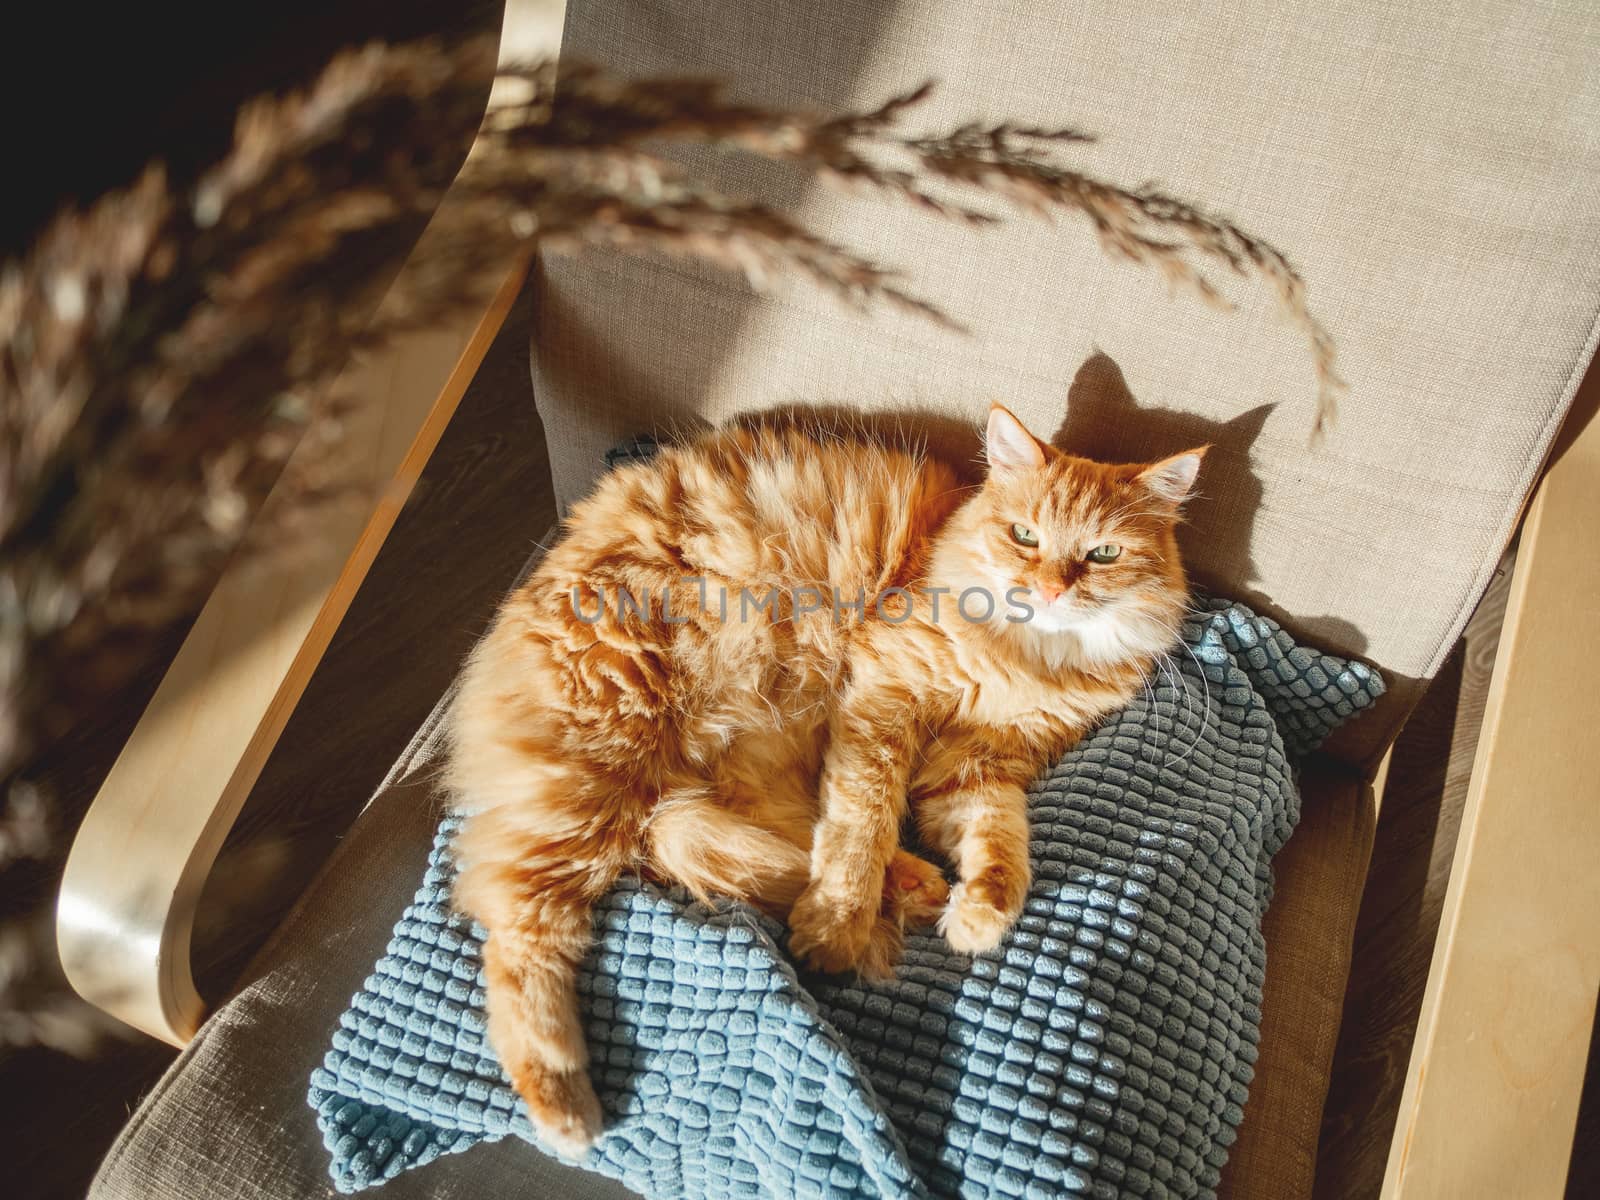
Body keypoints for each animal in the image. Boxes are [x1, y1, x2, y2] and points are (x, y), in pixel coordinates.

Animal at [448, 404, 1203, 1158]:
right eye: (1025, 537)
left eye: (1103, 555)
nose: (1048, 590)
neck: (1029, 658)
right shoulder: (883, 698)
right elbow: (859, 828)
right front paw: (837, 927)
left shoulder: (976, 766)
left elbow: (1001, 851)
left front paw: (978, 917)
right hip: (602, 766)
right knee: (516, 929)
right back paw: (563, 1105)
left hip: (730, 762)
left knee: (780, 841)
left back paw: (920, 887)